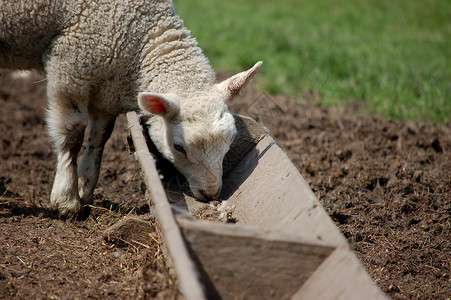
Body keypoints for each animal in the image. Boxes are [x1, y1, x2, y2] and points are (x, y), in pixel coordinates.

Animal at [0, 0, 264, 217]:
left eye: (230, 141)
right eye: (178, 147)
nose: (210, 193)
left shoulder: (107, 88)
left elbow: (99, 138)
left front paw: (85, 188)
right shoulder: (69, 66)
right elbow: (72, 135)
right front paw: (66, 200)